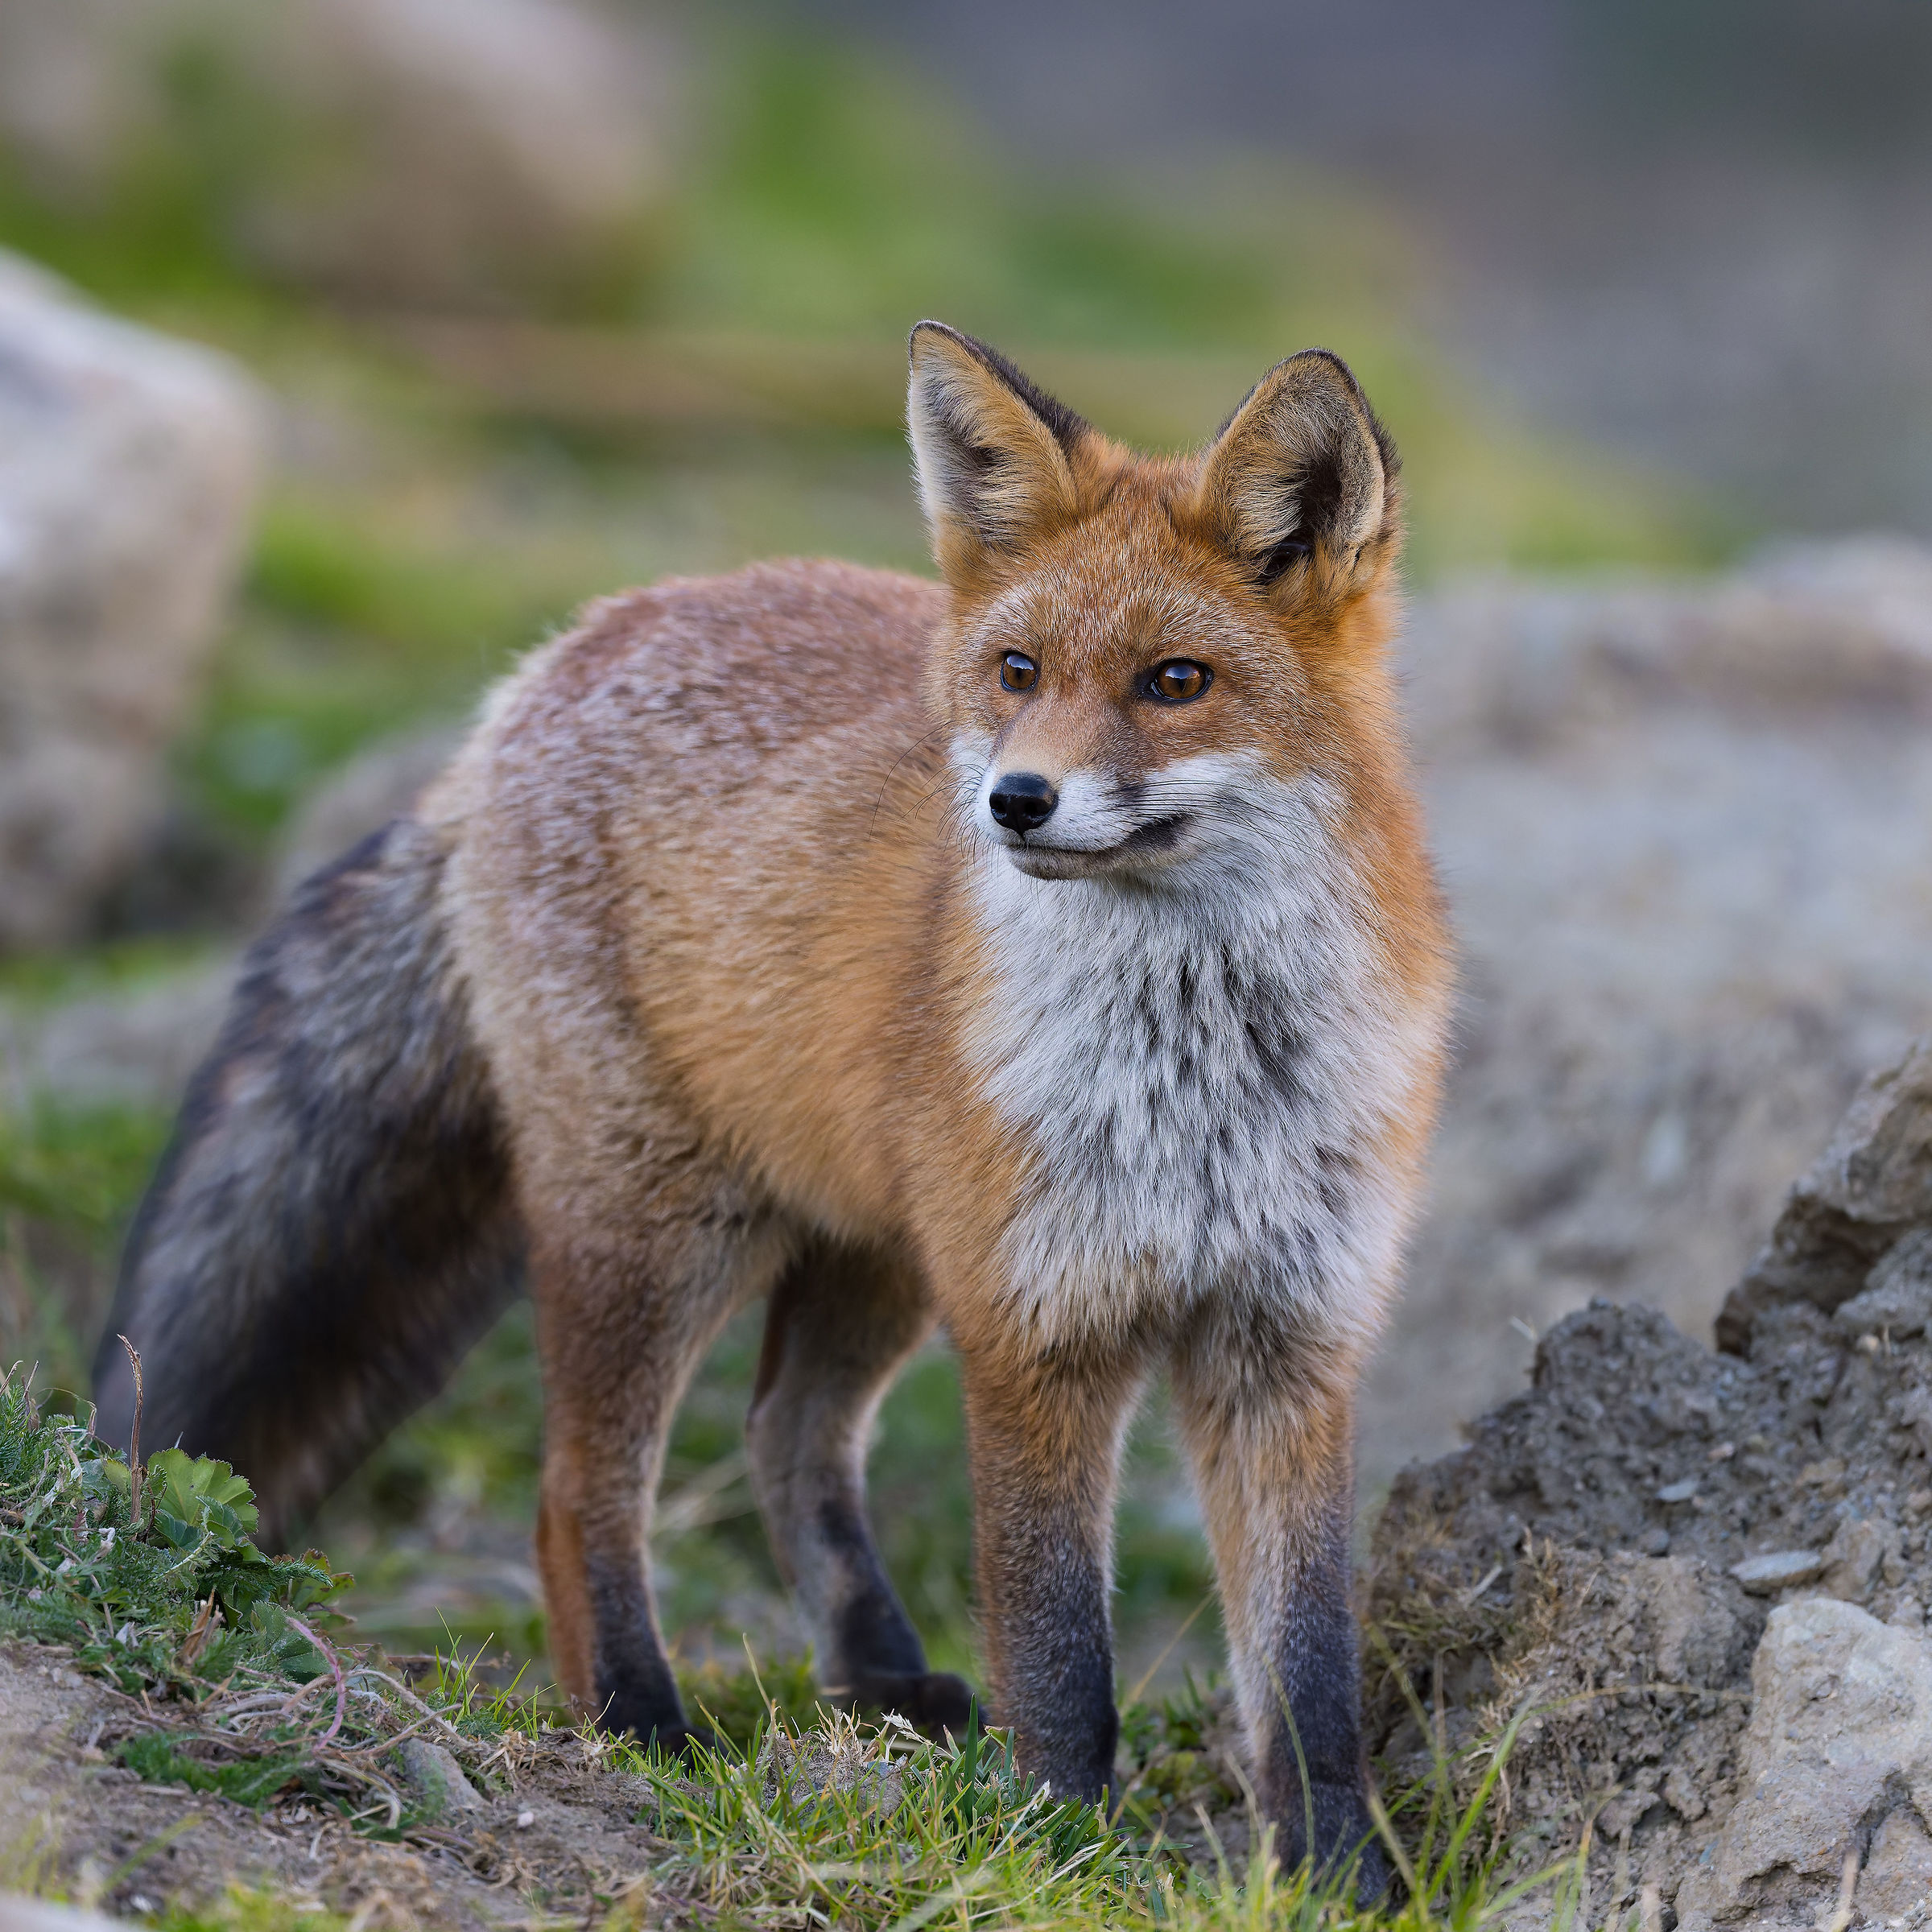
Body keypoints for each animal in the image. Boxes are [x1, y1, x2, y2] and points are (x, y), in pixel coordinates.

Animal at [96, 323, 1451, 1887]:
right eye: (1018, 669)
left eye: (1177, 680)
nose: (1016, 800)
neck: (1197, 1078)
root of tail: (555, 659)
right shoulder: (1036, 1330)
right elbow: (1060, 1646)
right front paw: (1058, 1845)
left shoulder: (1288, 1343)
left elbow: (1307, 1675)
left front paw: (1342, 1878)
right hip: (657, 1230)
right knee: (577, 1489)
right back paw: (639, 1718)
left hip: (877, 1250)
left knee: (787, 1434)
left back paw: (879, 1680)